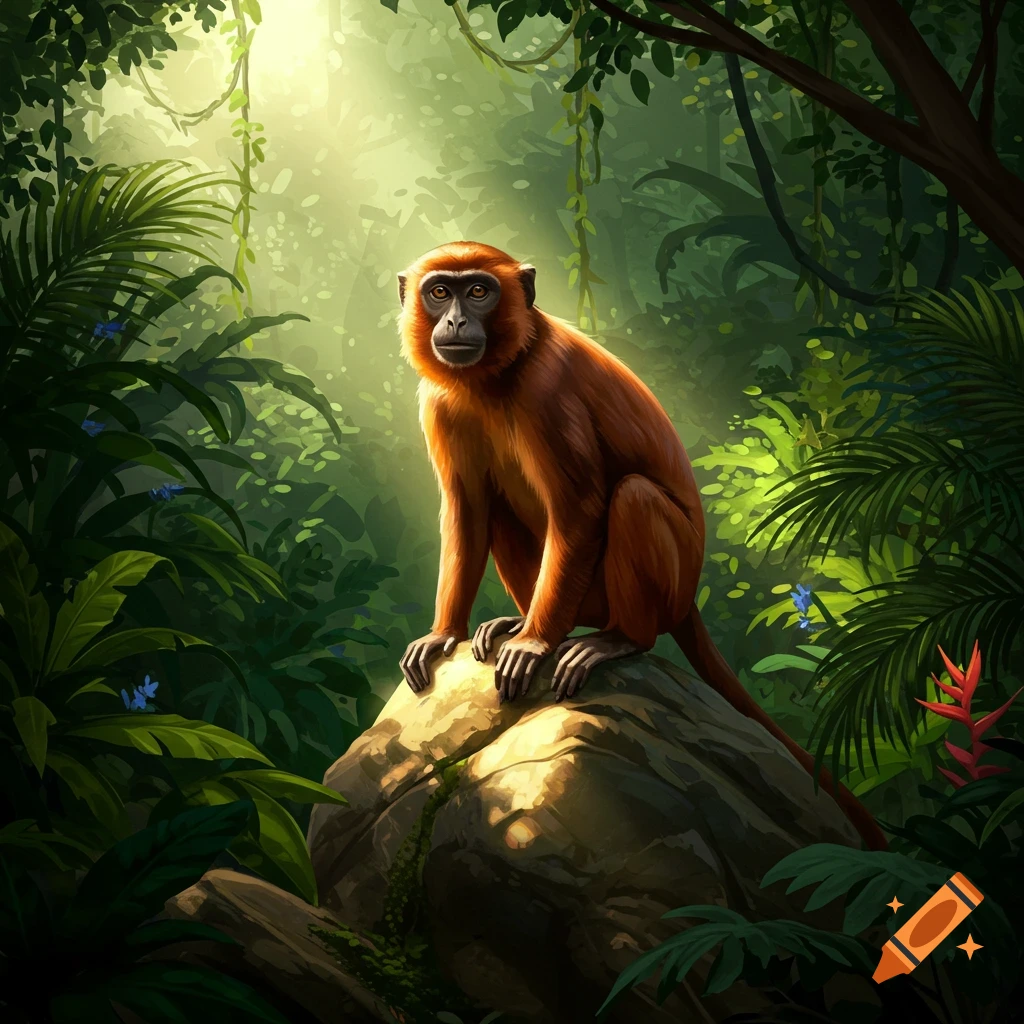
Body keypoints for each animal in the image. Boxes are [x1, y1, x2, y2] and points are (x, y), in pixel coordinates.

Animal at [394, 241, 887, 852]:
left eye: (479, 291)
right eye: (440, 292)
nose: (457, 321)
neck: (497, 374)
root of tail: (686, 597)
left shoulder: (546, 389)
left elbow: (580, 509)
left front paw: (534, 642)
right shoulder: (438, 401)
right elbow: (468, 513)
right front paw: (446, 633)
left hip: (649, 584)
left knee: (632, 497)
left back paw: (615, 639)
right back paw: (520, 619)